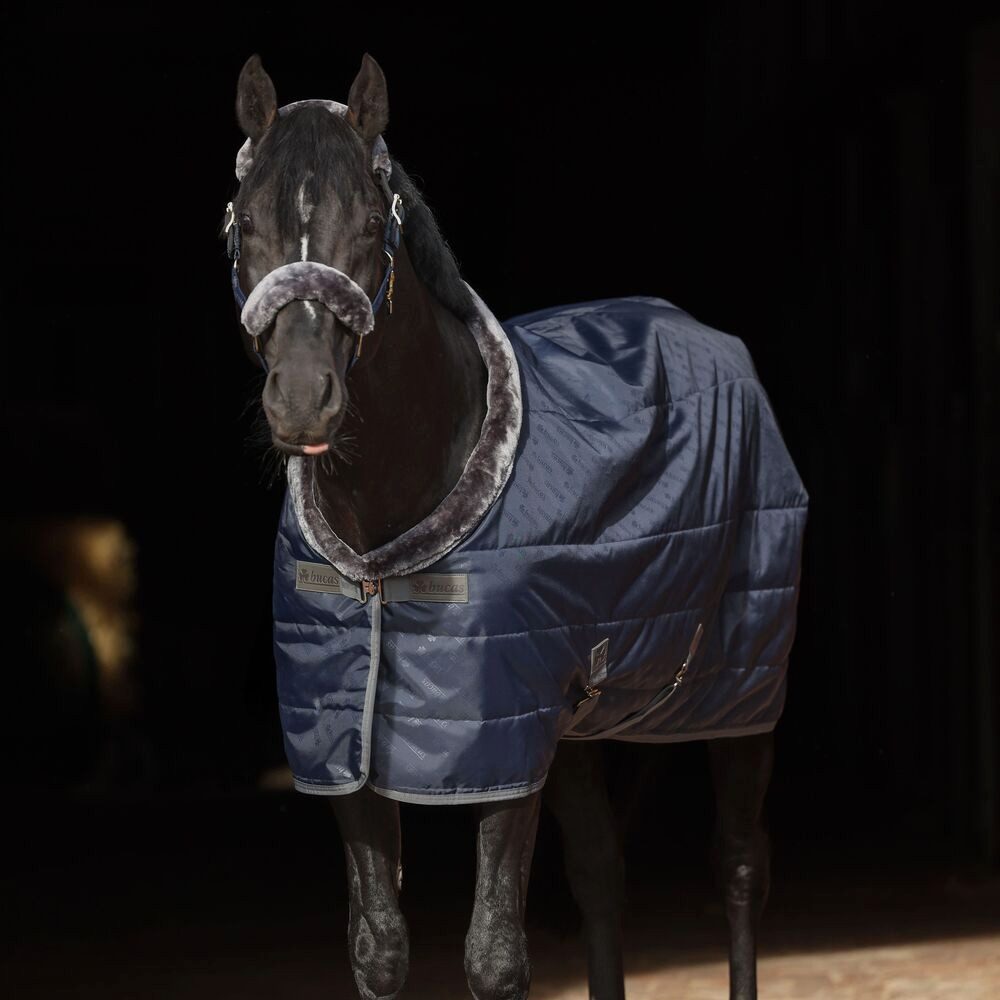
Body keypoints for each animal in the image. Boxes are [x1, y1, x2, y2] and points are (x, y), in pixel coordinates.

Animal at [222, 52, 807, 1000]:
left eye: (371, 222)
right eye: (245, 222)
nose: (304, 398)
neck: (384, 548)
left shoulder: (500, 745)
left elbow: (495, 956)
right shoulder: (350, 748)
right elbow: (380, 948)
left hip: (742, 692)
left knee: (739, 864)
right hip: (576, 725)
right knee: (602, 874)